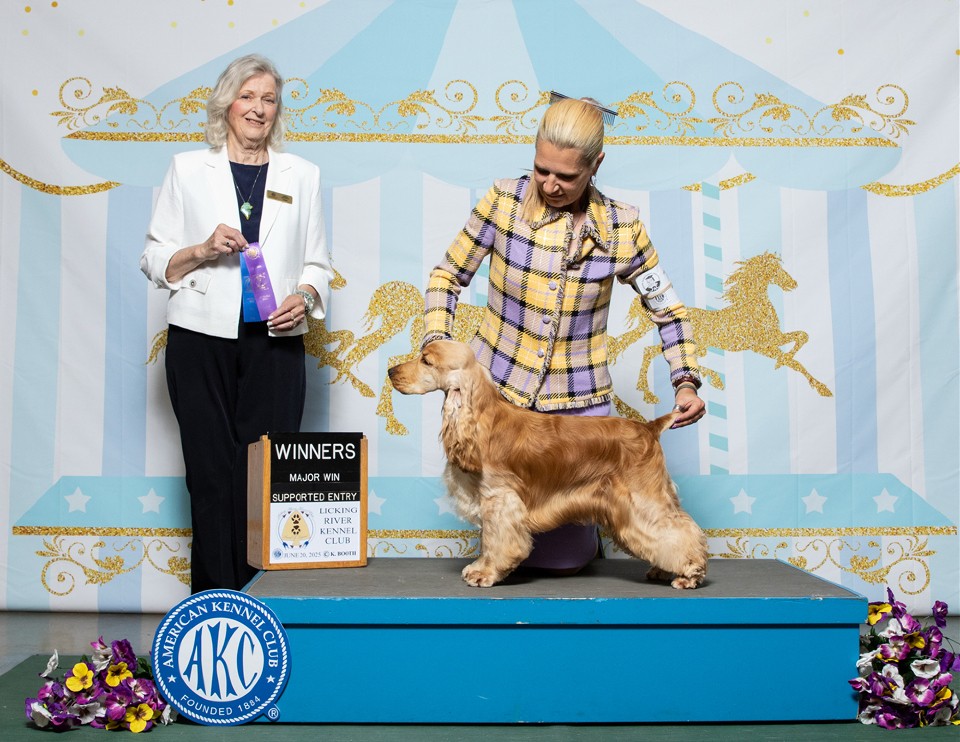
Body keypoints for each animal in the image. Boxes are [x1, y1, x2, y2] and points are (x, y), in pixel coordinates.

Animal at [388, 340, 708, 589]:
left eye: (426, 360)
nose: (391, 371)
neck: (480, 418)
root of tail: (649, 428)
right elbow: (488, 540)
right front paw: (480, 567)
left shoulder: (500, 498)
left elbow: (495, 539)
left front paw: (485, 573)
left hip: (642, 497)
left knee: (678, 531)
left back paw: (690, 573)